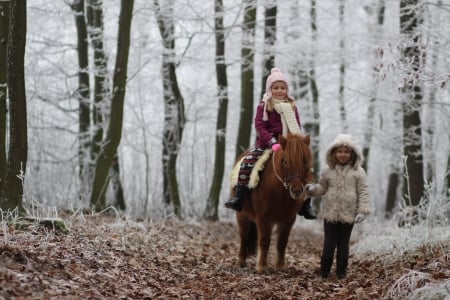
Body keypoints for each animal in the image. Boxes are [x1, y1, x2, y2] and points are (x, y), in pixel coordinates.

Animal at [234, 133, 314, 272]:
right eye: (285, 161)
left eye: (305, 161)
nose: (297, 190)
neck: (280, 193)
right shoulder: (263, 218)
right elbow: (264, 241)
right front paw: (262, 266)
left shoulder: (288, 219)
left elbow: (282, 242)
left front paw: (280, 265)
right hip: (242, 215)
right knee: (243, 237)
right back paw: (242, 261)